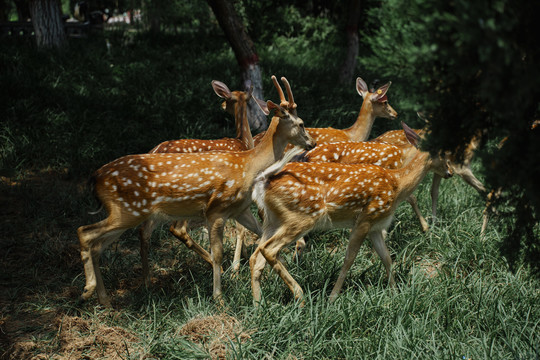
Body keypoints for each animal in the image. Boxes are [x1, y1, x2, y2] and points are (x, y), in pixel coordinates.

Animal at [78, 79, 318, 306]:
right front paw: (219, 297)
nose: (312, 142)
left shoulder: (240, 210)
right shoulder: (216, 210)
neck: (249, 164)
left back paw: (107, 299)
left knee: (99, 244)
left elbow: (260, 236)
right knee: (85, 232)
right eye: (301, 123)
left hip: (129, 213)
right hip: (128, 210)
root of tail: (95, 177)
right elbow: (218, 252)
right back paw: (88, 290)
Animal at [249, 122, 452, 306]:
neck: (397, 184)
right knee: (269, 249)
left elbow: (386, 258)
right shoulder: (365, 218)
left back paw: (259, 307)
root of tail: (264, 180)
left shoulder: (376, 226)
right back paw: (300, 296)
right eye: (442, 154)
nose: (450, 172)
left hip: (273, 220)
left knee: (256, 257)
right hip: (301, 217)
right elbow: (349, 258)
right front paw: (332, 298)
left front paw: (395, 293)